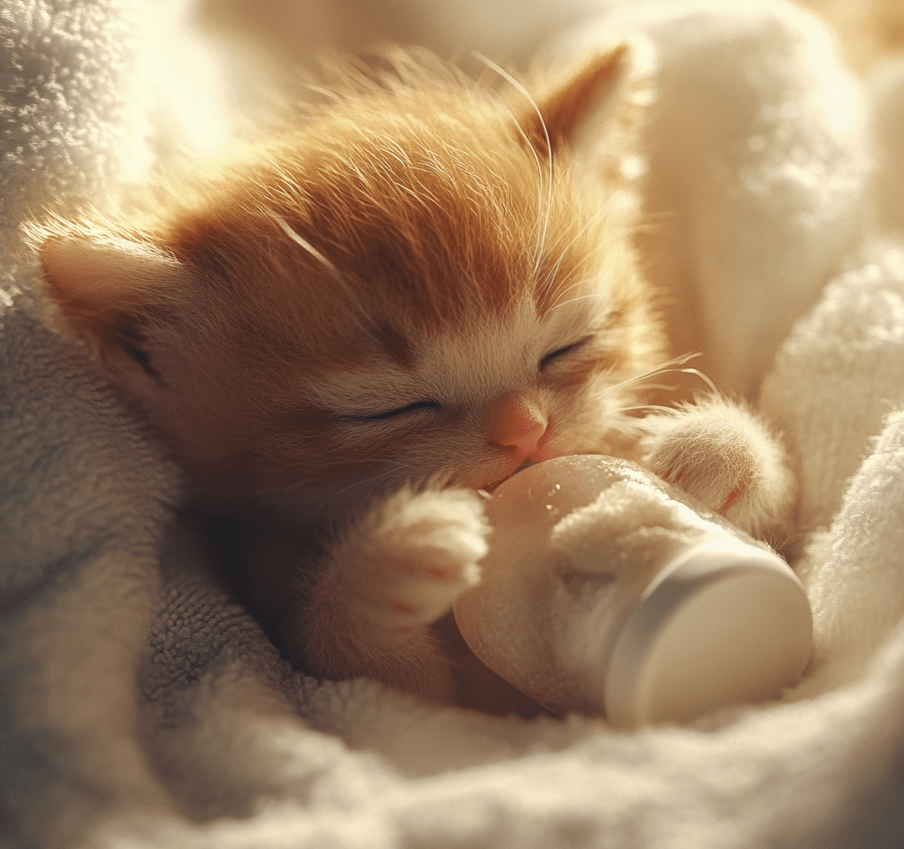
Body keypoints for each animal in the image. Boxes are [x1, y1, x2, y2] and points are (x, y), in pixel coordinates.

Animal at [33, 48, 792, 708]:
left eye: (565, 346)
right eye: (386, 409)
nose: (526, 430)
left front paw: (712, 451)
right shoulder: (365, 676)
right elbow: (375, 671)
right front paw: (388, 560)